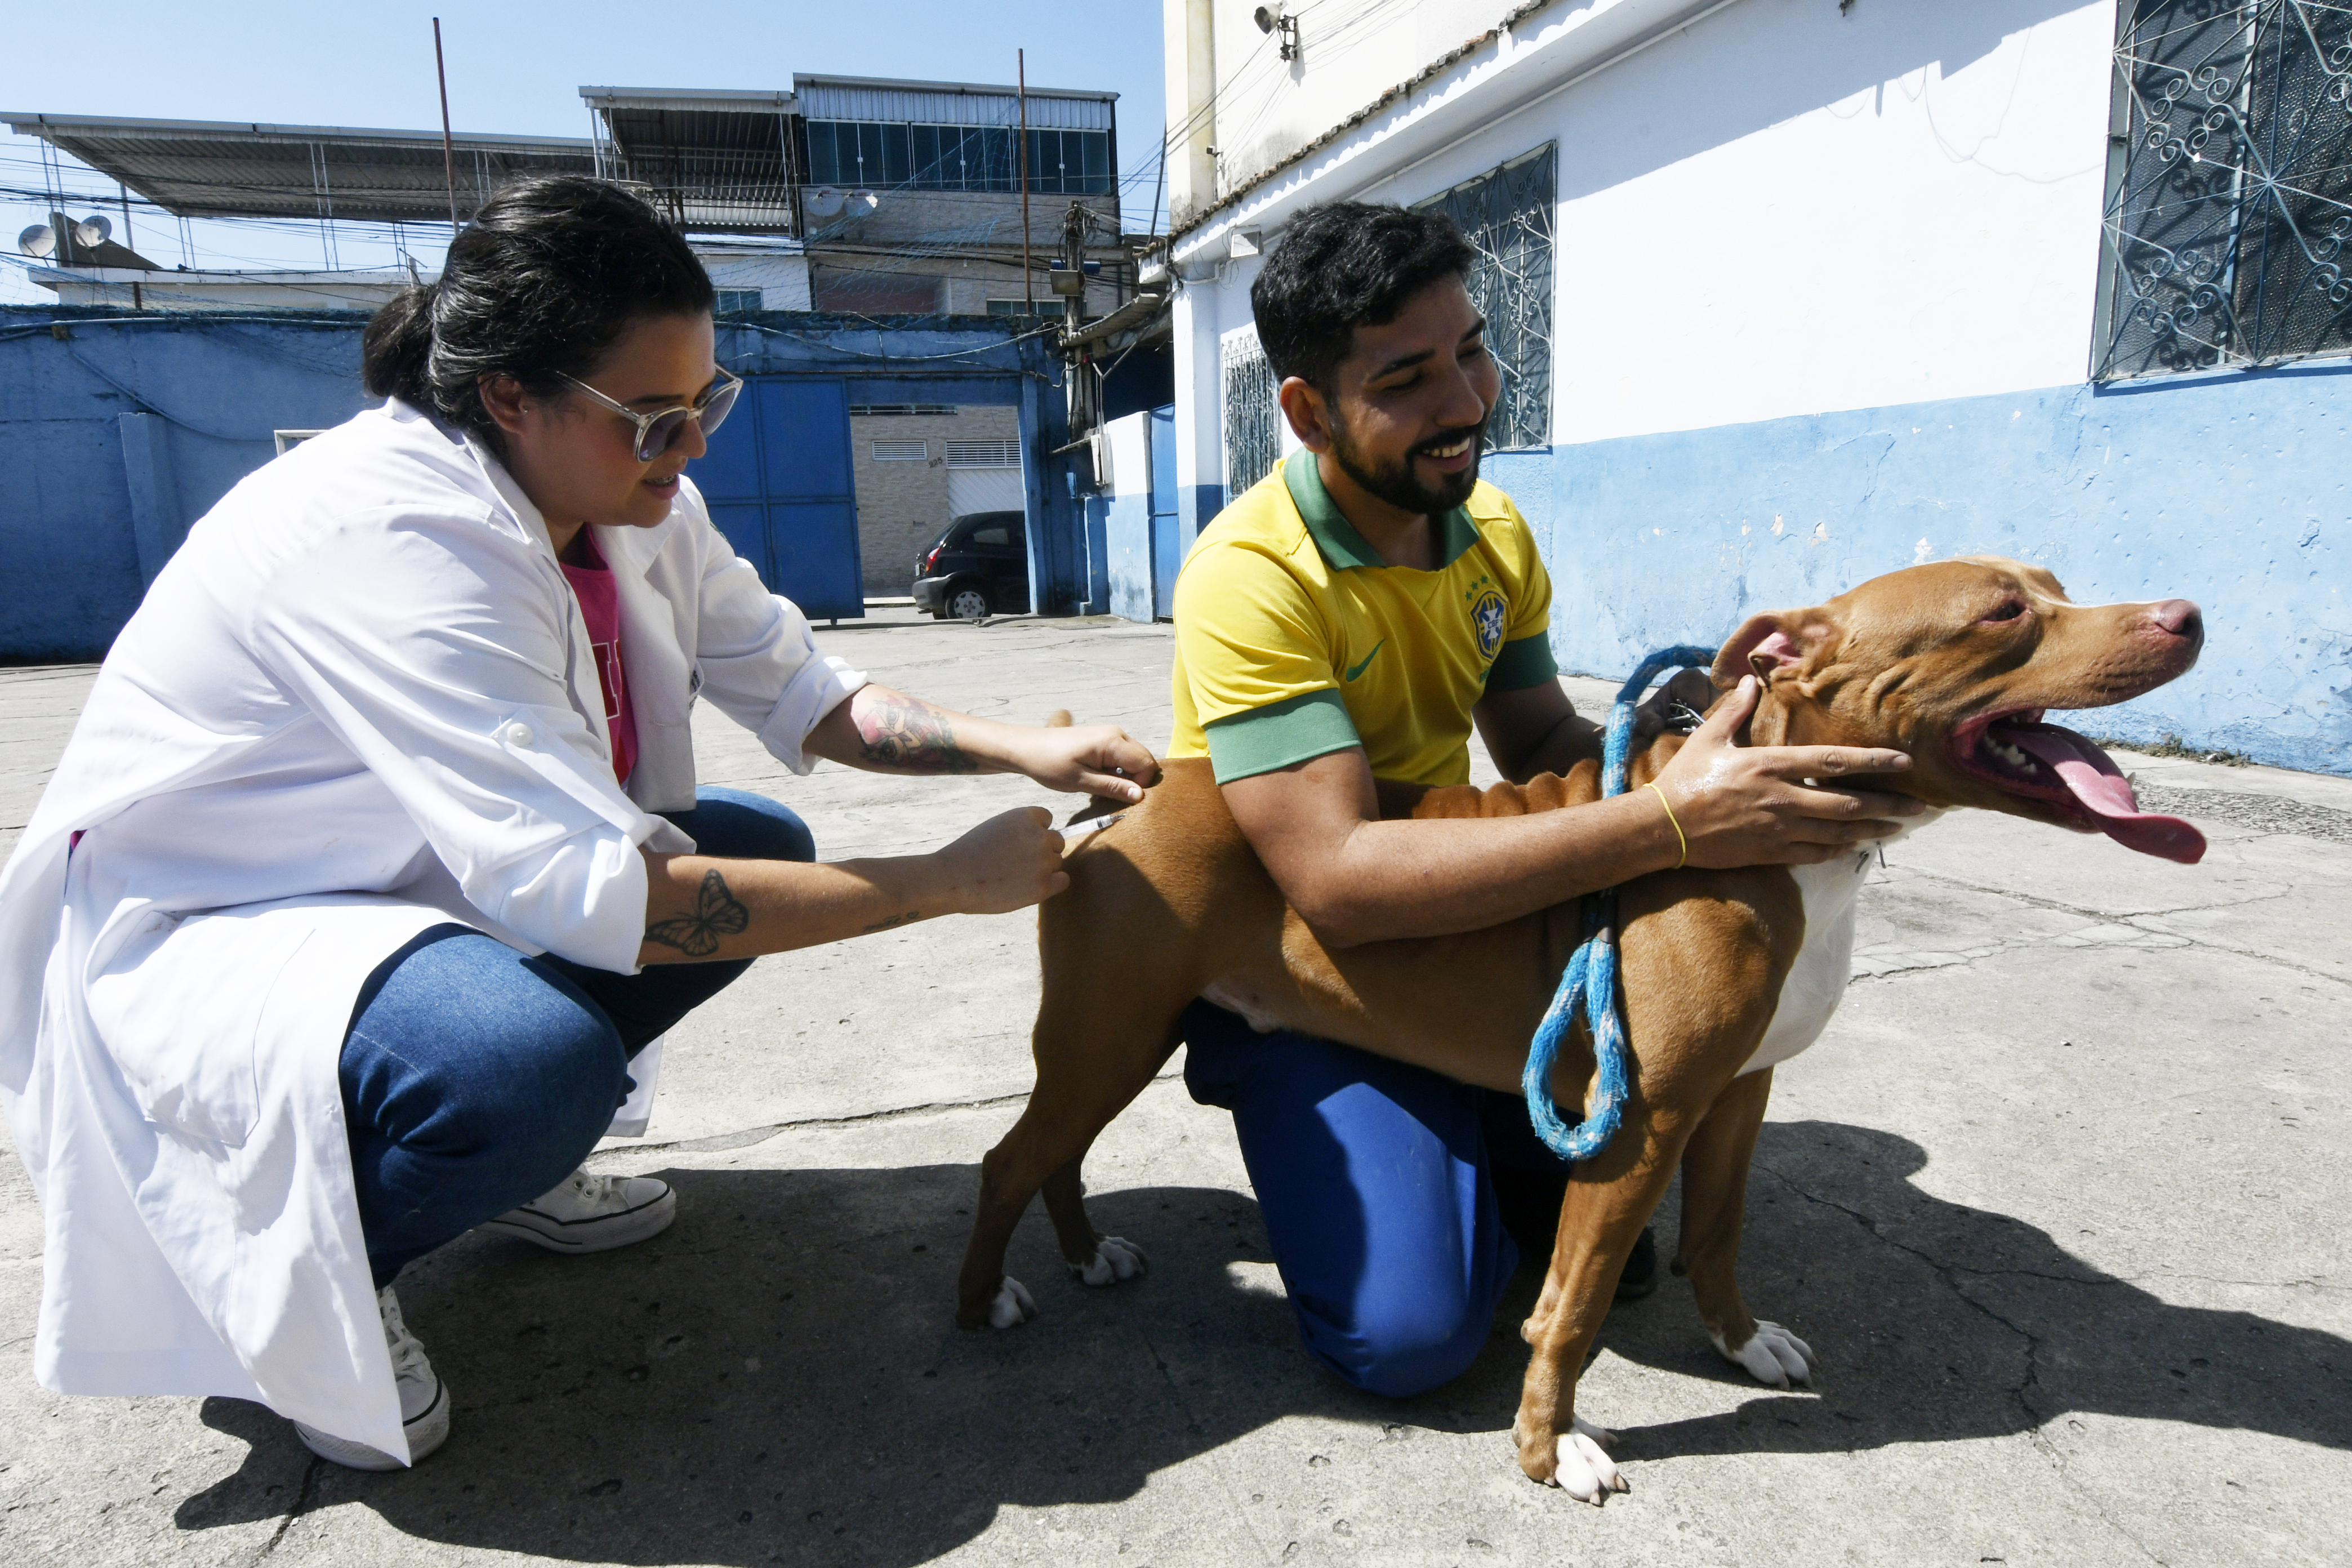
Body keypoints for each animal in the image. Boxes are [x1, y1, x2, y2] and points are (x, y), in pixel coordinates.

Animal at [955, 557, 2201, 1504]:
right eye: (2003, 612)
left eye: (2054, 586)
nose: (2186, 614)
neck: (1794, 829)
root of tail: (1130, 799)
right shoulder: (1641, 1120)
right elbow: (1573, 1302)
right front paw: (1553, 1450)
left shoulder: (1737, 1093)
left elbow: (1716, 1236)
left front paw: (1739, 1343)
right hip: (1109, 1032)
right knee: (1007, 1158)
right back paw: (982, 1306)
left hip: (1121, 1039)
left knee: (1056, 1151)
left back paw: (1085, 1254)